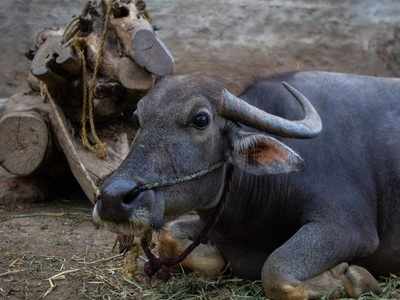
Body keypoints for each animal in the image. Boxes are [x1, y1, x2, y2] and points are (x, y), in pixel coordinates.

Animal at [91, 71, 400, 298]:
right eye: (138, 117)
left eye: (200, 119)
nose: (112, 198)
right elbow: (169, 234)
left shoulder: (349, 228)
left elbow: (273, 270)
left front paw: (350, 278)